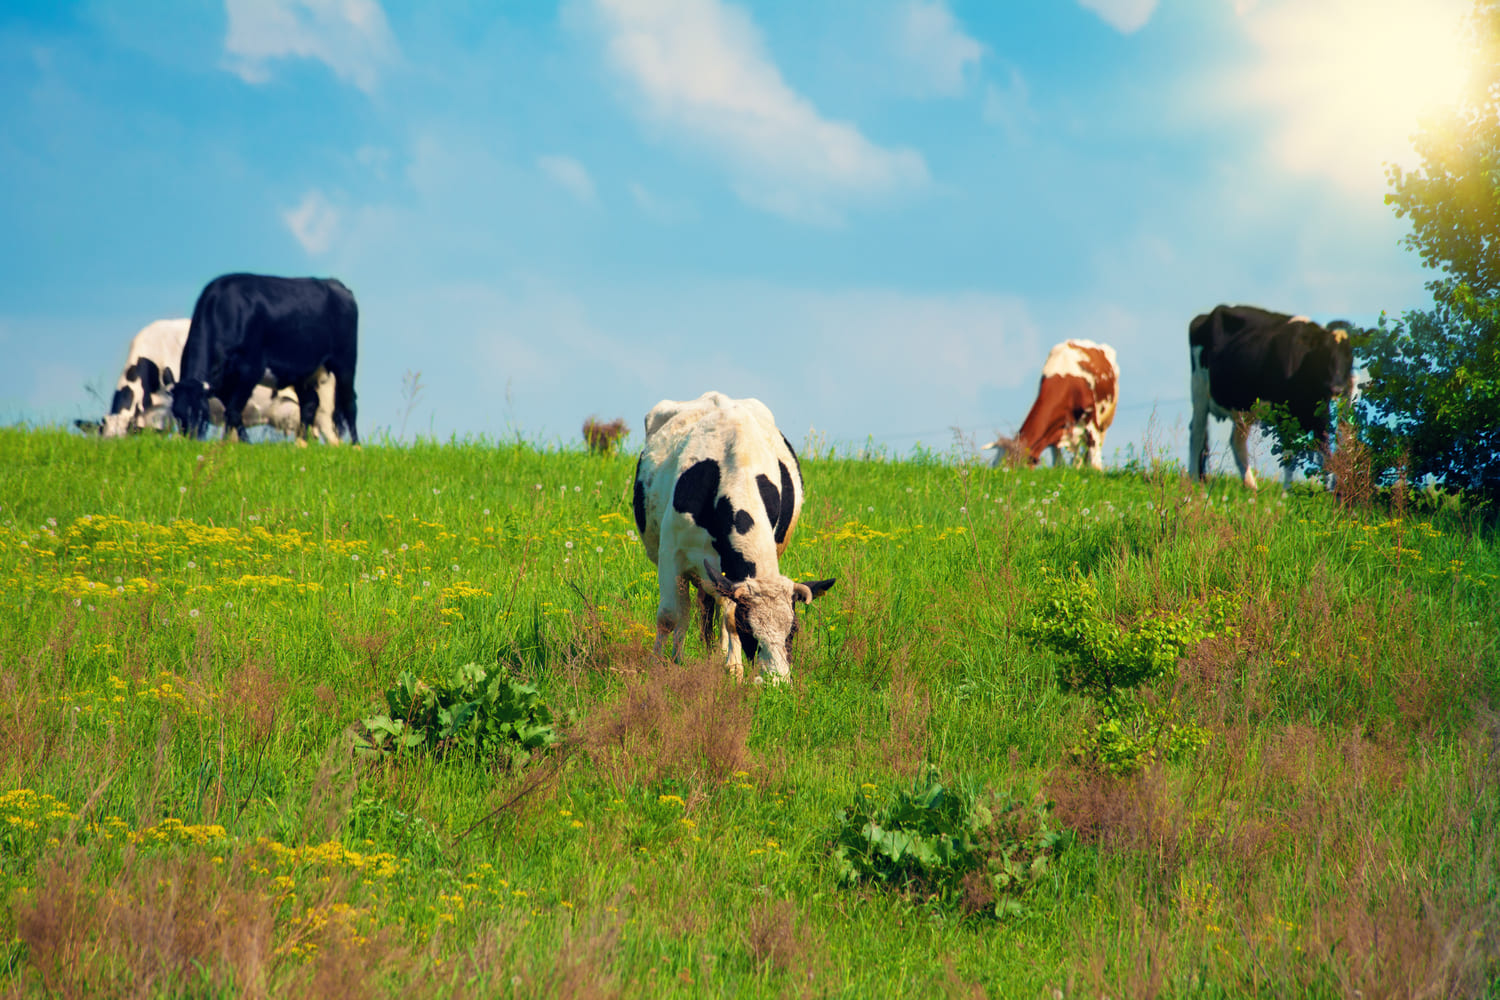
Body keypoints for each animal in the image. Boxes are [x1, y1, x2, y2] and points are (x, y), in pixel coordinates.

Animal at [171, 274, 358, 446]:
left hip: (345, 361)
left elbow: (233, 411)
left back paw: (356, 445)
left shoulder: (251, 369)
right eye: (176, 414)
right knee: (310, 402)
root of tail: (334, 283)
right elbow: (233, 413)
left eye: (201, 414)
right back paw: (300, 444)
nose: (189, 441)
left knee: (349, 403)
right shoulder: (224, 384)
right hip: (302, 371)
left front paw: (235, 444)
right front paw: (235, 443)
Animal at [630, 389, 840, 689]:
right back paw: (678, 657)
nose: (777, 682)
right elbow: (669, 616)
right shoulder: (671, 555)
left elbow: (728, 616)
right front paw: (657, 666)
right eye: (749, 629)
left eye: (793, 630)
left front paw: (733, 670)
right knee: (686, 613)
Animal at [978, 340, 1122, 473]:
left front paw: (1095, 473)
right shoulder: (1055, 431)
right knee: (1077, 454)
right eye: (995, 463)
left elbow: (1095, 461)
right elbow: (1058, 461)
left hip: (1106, 420)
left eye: (1015, 465)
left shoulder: (1091, 421)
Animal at [1188, 307, 1356, 491]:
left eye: (1349, 356)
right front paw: (1286, 492)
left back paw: (1251, 485)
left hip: (1245, 410)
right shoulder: (1283, 413)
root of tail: (1206, 315)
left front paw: (1330, 492)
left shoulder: (1319, 414)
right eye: (1325, 353)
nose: (1337, 388)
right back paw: (1194, 480)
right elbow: (1288, 454)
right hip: (1199, 391)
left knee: (1236, 440)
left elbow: (1325, 450)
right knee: (1197, 434)